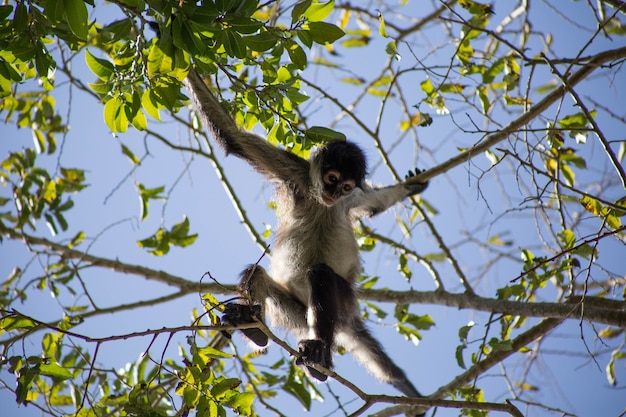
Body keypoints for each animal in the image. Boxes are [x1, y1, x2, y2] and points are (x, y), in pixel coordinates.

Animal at [183, 69, 426, 410]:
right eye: (332, 178)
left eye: (346, 186)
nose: (334, 193)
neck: (324, 203)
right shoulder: (294, 171)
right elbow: (234, 138)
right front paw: (185, 64)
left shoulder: (353, 200)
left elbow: (378, 202)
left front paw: (411, 186)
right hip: (298, 313)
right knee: (256, 274)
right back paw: (255, 328)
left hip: (341, 300)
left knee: (320, 274)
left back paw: (319, 356)